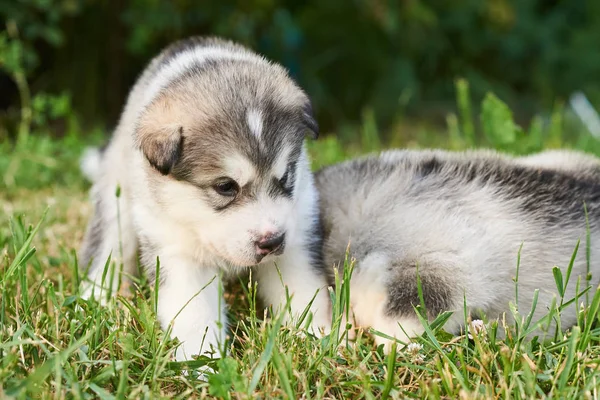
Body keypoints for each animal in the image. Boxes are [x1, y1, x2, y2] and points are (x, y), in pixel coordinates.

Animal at [77, 37, 330, 360]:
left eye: (285, 176)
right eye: (225, 186)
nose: (272, 242)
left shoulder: (297, 234)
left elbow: (304, 291)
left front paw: (319, 339)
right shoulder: (177, 252)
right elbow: (195, 315)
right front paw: (203, 363)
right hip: (117, 193)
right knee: (108, 242)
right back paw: (95, 296)